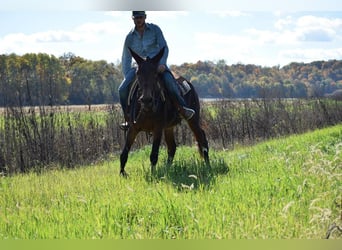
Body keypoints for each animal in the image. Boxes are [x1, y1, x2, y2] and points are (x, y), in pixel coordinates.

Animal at [120, 47, 211, 176]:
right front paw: (122, 174)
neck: (147, 110)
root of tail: (189, 84)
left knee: (202, 139)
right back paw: (167, 170)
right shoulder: (133, 128)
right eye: (138, 73)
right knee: (172, 147)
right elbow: (124, 153)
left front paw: (153, 175)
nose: (146, 100)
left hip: (193, 120)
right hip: (169, 127)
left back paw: (208, 166)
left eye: (155, 74)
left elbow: (153, 155)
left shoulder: (158, 128)